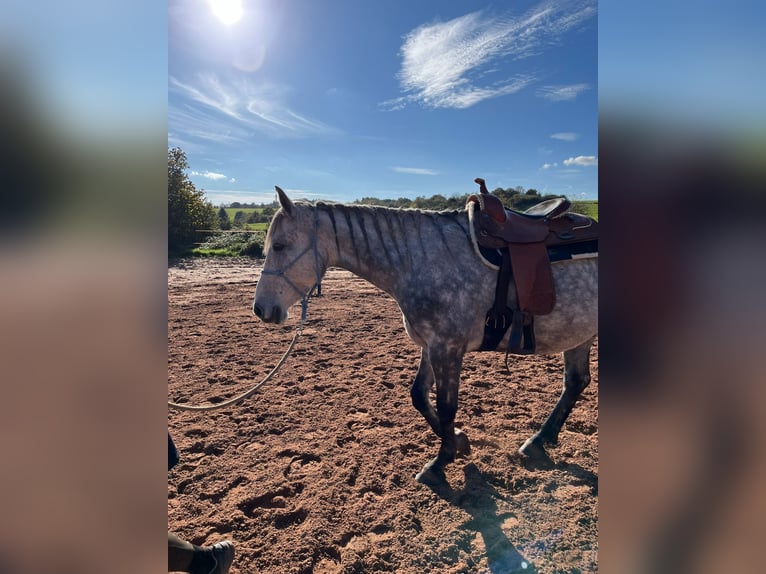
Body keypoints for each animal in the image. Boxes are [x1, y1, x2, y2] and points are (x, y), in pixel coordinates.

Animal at [255, 189, 596, 486]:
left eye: (280, 246)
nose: (261, 309)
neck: (419, 259)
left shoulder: (447, 348)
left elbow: (447, 406)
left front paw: (440, 462)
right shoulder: (430, 345)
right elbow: (419, 395)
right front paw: (458, 441)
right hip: (580, 333)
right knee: (575, 382)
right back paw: (539, 441)